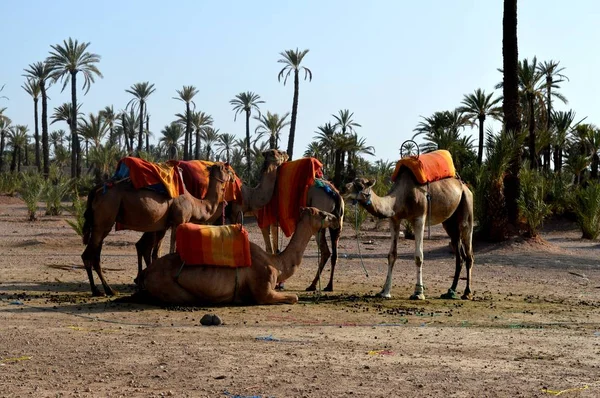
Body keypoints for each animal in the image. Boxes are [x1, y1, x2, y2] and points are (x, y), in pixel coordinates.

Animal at [83, 162, 233, 296]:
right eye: (227, 169)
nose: (232, 176)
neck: (194, 203)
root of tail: (96, 190)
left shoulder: (163, 226)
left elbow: (156, 254)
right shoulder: (179, 221)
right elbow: (172, 249)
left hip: (102, 224)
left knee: (96, 253)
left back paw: (106, 289)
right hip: (105, 217)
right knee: (88, 255)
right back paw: (100, 290)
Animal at [135, 149, 290, 274]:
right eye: (278, 152)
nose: (287, 153)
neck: (249, 195)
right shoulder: (235, 212)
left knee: (144, 245)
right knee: (148, 246)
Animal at [137, 207, 342, 306]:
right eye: (322, 213)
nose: (336, 218)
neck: (276, 263)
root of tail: (147, 273)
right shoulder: (264, 291)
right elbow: (294, 297)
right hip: (171, 288)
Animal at [342, 170, 474, 298]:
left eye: (360, 185)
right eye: (352, 180)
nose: (343, 189)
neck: (400, 197)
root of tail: (465, 187)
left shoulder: (419, 218)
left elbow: (418, 256)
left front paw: (418, 292)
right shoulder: (394, 219)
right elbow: (392, 255)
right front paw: (385, 292)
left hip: (467, 207)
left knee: (468, 253)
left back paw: (467, 292)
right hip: (449, 222)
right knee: (459, 255)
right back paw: (450, 291)